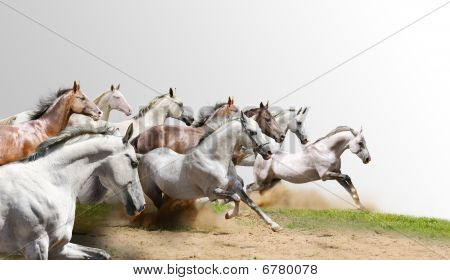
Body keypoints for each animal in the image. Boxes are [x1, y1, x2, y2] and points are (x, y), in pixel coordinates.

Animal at [0, 124, 144, 260]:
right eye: (134, 163)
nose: (141, 205)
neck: (50, 181)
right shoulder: (37, 247)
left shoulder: (58, 248)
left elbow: (102, 254)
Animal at [139, 111, 284, 232]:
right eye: (252, 132)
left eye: (260, 130)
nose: (269, 152)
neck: (213, 159)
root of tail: (143, 156)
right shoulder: (213, 192)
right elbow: (235, 198)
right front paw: (228, 215)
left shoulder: (236, 186)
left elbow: (252, 203)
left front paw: (274, 225)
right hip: (153, 192)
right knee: (159, 207)